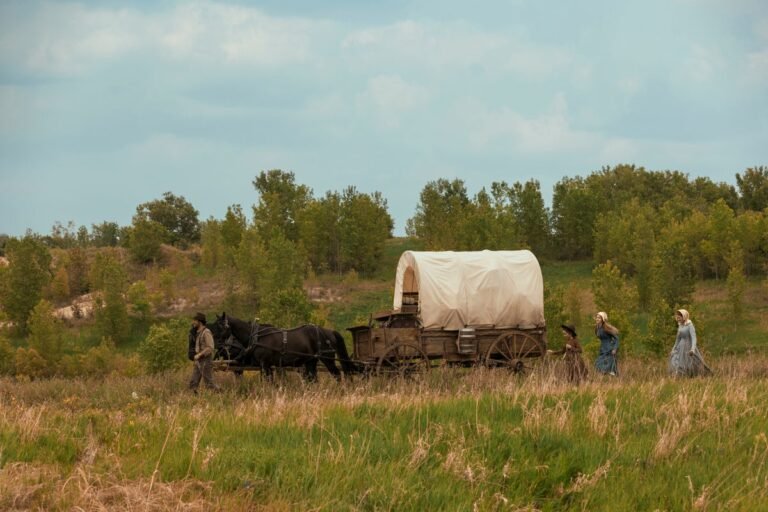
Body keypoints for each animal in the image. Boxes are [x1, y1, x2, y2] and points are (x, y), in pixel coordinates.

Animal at [210, 312, 358, 382]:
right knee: (313, 379)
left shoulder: (265, 364)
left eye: (220, 325)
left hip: (327, 358)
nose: (214, 343)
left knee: (337, 374)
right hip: (311, 361)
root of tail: (328, 331)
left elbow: (267, 381)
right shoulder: (267, 366)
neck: (257, 336)